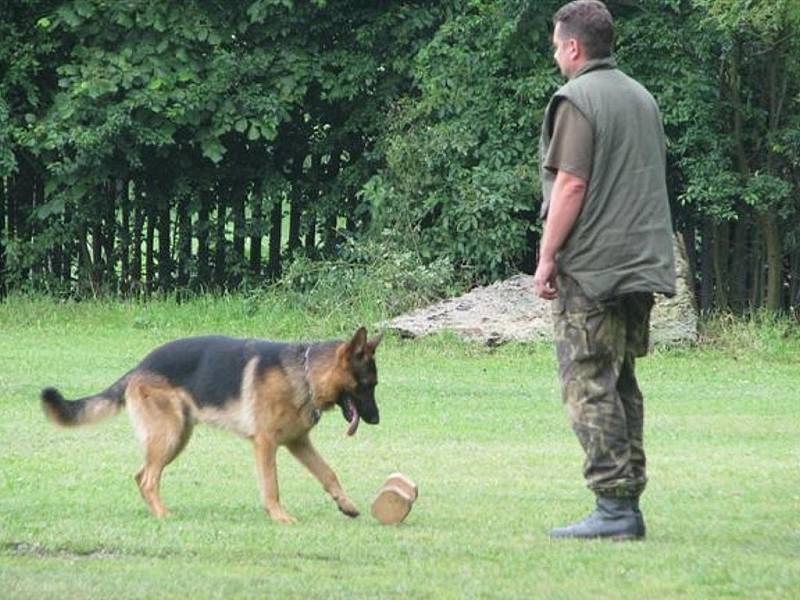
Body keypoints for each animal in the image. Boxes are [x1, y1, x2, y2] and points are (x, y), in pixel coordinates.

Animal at [41, 326, 384, 524]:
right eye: (367, 385)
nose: (377, 420)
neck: (304, 373)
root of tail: (139, 366)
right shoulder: (265, 444)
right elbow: (272, 486)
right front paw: (279, 516)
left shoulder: (298, 442)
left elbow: (328, 473)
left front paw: (347, 505)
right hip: (169, 435)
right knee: (148, 478)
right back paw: (164, 515)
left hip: (177, 437)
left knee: (141, 475)